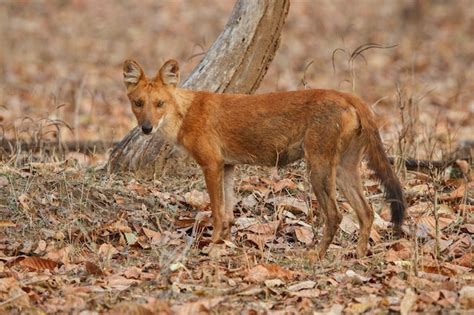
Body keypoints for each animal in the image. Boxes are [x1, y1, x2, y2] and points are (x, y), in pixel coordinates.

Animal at [124, 59, 406, 260]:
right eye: (138, 103)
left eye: (159, 103)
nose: (146, 128)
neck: (185, 112)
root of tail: (347, 95)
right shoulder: (227, 165)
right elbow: (228, 214)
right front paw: (223, 242)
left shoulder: (211, 165)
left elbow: (216, 212)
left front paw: (211, 246)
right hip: (346, 169)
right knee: (366, 211)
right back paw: (359, 255)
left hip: (318, 167)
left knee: (335, 215)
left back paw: (316, 255)